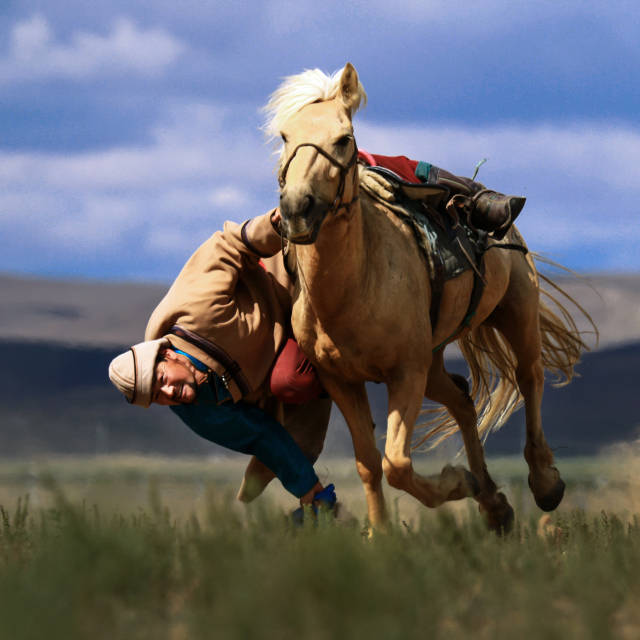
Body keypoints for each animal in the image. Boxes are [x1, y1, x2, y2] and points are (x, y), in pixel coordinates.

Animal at [262, 62, 592, 532]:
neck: (354, 289)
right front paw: (380, 533)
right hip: (434, 359)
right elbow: (368, 463)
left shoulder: (406, 373)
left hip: (515, 311)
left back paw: (544, 482)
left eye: (343, 138)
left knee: (530, 377)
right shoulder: (342, 380)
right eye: (286, 136)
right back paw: (494, 505)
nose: (296, 210)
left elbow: (396, 463)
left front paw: (454, 485)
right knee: (462, 400)